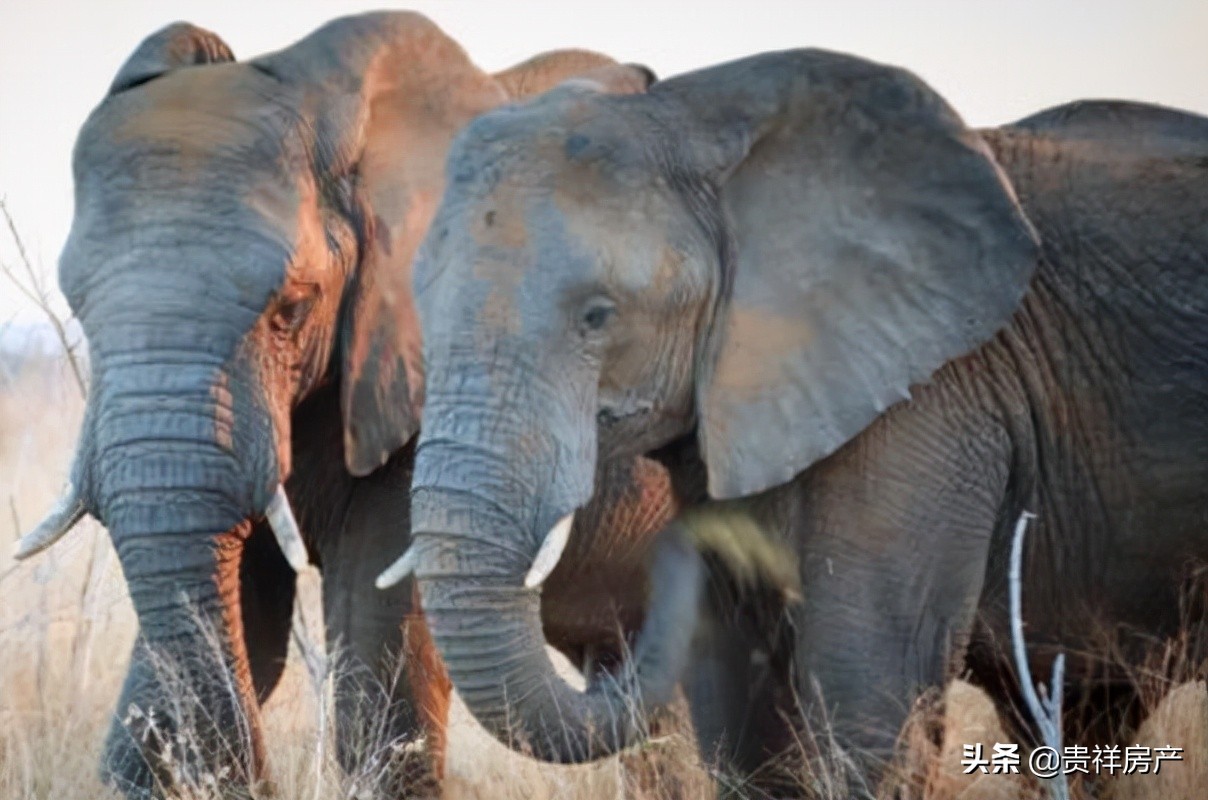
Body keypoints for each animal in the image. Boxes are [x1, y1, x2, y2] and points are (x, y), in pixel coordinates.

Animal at [379, 48, 1208, 797]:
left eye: (597, 316)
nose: (668, 553)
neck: (696, 121)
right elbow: (744, 714)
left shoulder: (932, 398)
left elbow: (874, 695)